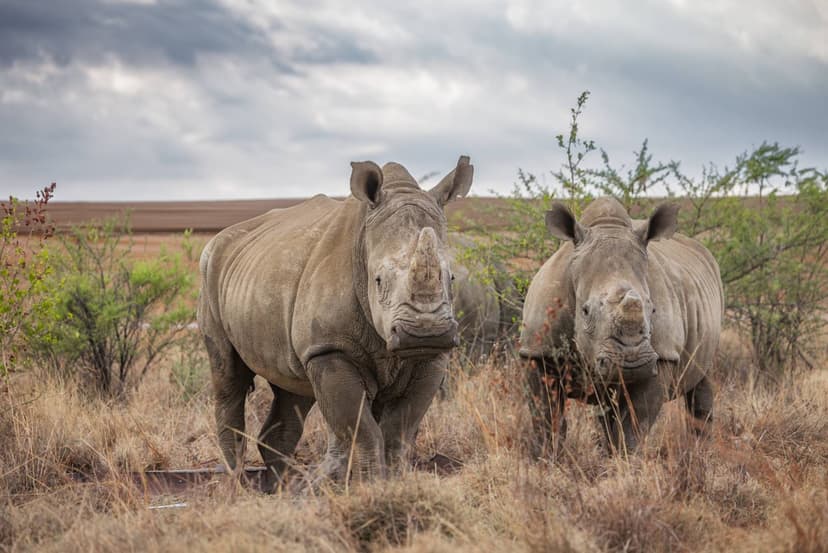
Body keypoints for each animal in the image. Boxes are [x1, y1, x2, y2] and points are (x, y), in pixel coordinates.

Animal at [198, 157, 473, 490]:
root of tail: (220, 239)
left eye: (452, 278)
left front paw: (393, 486)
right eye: (378, 280)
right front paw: (371, 488)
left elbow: (398, 432)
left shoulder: (431, 358)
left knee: (293, 389)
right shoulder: (331, 349)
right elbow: (364, 431)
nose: (424, 333)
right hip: (209, 270)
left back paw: (279, 488)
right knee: (228, 378)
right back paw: (237, 486)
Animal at [519, 197, 723, 455]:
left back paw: (700, 453)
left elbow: (633, 427)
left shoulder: (662, 356)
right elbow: (546, 418)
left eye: (653, 310)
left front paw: (622, 461)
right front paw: (547, 458)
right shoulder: (537, 352)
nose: (632, 364)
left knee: (702, 379)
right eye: (585, 311)